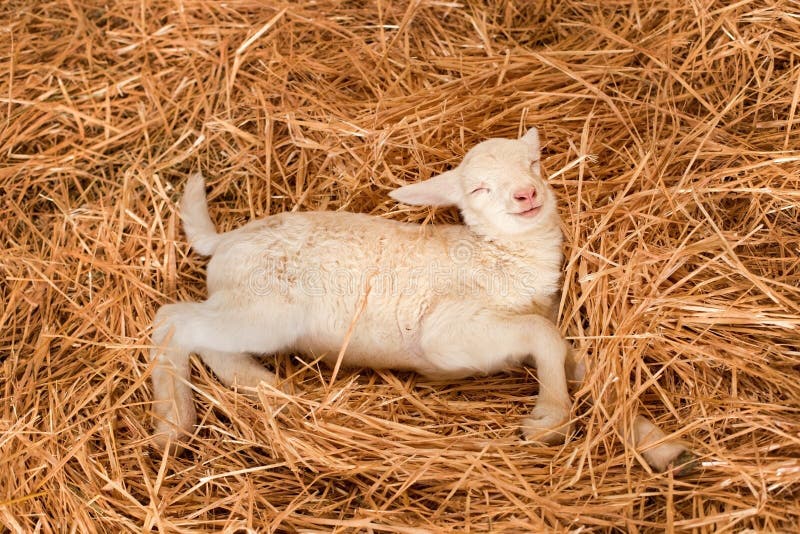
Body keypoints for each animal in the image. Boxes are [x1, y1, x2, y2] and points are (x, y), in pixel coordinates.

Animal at [150, 127, 695, 474]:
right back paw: (173, 425)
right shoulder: (449, 334)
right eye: (478, 189)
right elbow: (543, 337)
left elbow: (576, 362)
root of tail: (225, 240)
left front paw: (663, 447)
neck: (499, 256)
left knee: (211, 344)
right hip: (263, 306)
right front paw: (548, 421)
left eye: (535, 164)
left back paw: (268, 388)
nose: (526, 195)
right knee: (175, 320)